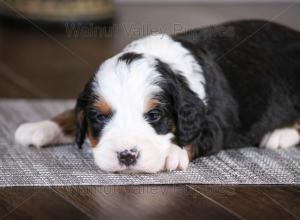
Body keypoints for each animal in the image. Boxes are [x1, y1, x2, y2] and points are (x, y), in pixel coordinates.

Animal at [15, 19, 300, 173]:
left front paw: (171, 153)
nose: (127, 156)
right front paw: (41, 126)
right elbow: (71, 115)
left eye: (154, 115)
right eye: (100, 117)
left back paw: (280, 134)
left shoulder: (213, 123)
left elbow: (193, 138)